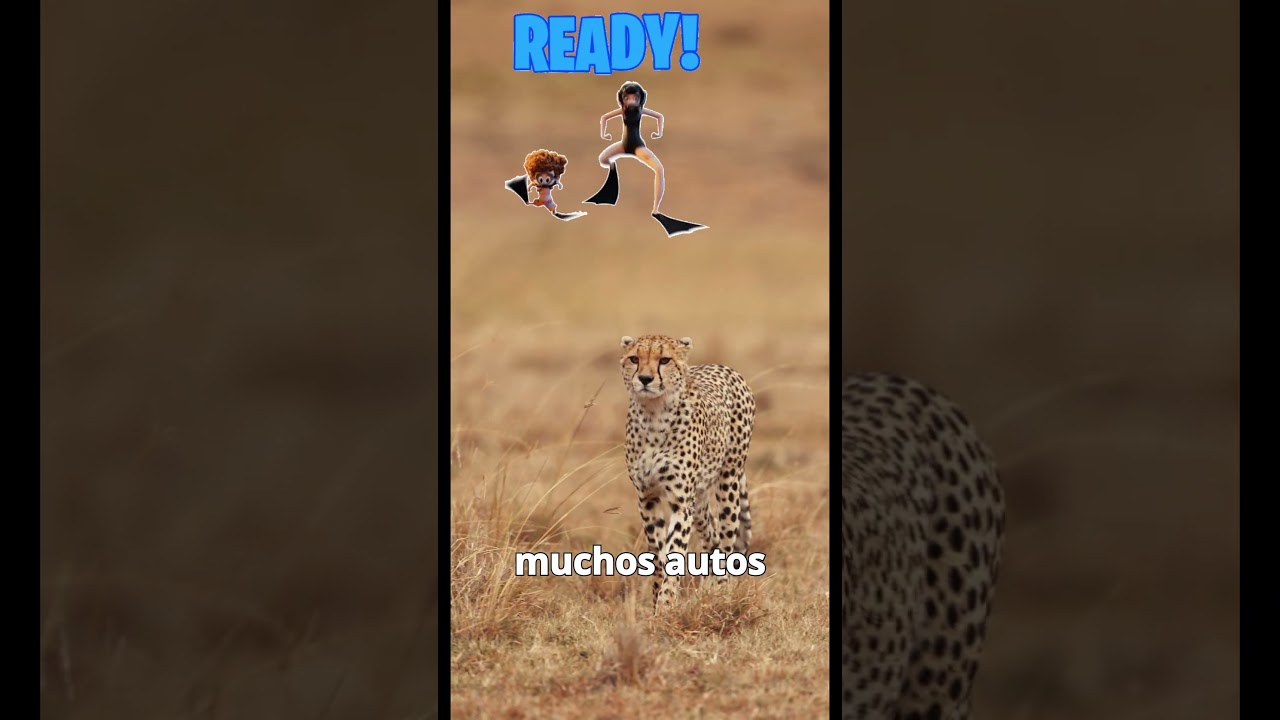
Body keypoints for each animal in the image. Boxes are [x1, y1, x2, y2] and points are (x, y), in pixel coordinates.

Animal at [619, 334, 756, 610]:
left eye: (664, 360)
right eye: (634, 358)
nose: (645, 379)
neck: (654, 415)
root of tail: (722, 366)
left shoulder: (680, 502)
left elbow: (675, 551)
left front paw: (665, 606)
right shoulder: (647, 498)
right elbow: (658, 555)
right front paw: (656, 600)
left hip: (728, 481)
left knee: (726, 539)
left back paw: (721, 594)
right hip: (700, 499)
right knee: (712, 535)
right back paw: (707, 590)